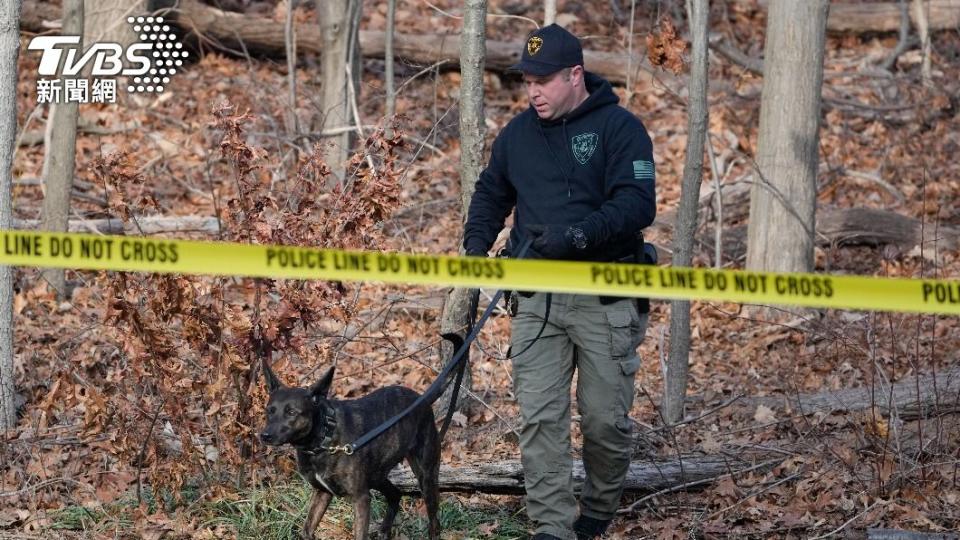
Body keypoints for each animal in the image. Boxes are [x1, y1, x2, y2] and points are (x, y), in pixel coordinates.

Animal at [258, 336, 462, 536]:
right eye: (269, 411)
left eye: (292, 412)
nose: (264, 435)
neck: (324, 439)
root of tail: (422, 400)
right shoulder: (322, 493)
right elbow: (307, 530)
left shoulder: (361, 498)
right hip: (377, 475)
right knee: (395, 494)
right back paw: (384, 532)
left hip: (426, 477)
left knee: (434, 523)